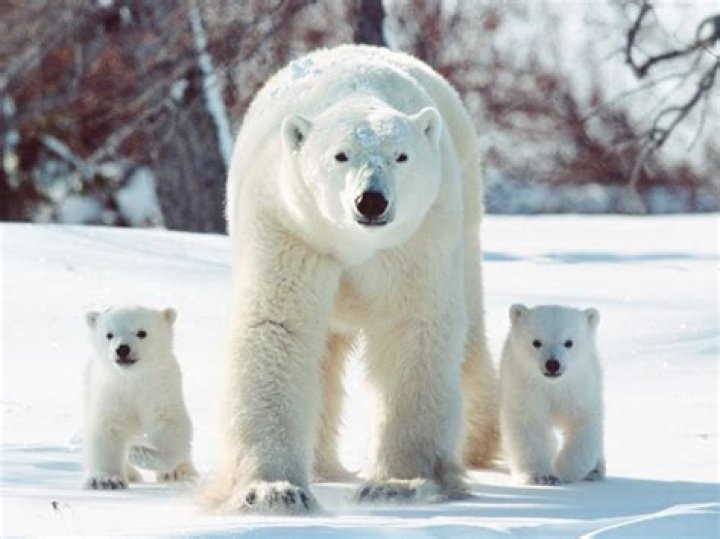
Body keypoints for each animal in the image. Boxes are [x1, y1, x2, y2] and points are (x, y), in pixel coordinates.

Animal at [83, 305, 198, 489]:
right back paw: (131, 474)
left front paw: (140, 454)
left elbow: (171, 427)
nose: (122, 349)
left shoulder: (160, 391)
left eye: (142, 332)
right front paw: (106, 480)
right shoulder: (110, 393)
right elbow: (106, 429)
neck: (133, 379)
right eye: (109, 334)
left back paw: (180, 473)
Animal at [205, 44, 498, 515]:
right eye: (340, 155)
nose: (372, 200)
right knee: (323, 354)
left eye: (401, 156)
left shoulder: (416, 237)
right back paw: (322, 465)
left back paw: (476, 446)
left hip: (464, 216)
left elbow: (413, 327)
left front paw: (398, 484)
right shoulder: (289, 225)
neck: (352, 243)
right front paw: (272, 491)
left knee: (469, 338)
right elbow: (278, 327)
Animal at [499, 304, 605, 485]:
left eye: (568, 342)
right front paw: (539, 476)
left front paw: (563, 469)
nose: (553, 364)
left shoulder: (579, 389)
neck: (552, 386)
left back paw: (596, 471)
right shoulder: (525, 387)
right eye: (536, 342)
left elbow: (583, 426)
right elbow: (528, 425)